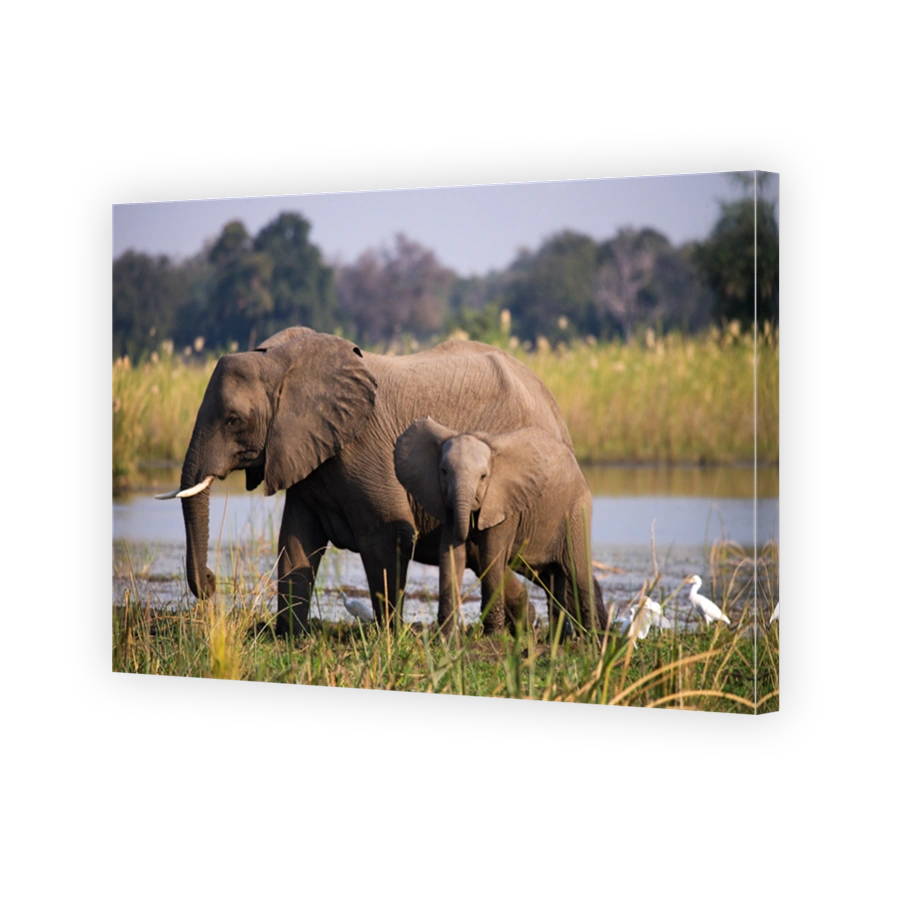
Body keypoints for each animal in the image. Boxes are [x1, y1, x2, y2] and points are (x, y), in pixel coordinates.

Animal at [156, 326, 580, 636]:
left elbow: (388, 534)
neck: (281, 360)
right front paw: (287, 636)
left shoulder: (363, 447)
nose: (211, 582)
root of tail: (555, 407)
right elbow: (295, 542)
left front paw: (389, 637)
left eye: (233, 421)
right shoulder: (308, 455)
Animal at [393, 416, 609, 638]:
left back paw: (591, 638)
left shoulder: (506, 503)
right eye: (443, 472)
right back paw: (558, 639)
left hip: (577, 511)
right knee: (554, 578)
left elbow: (491, 555)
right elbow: (451, 554)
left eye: (483, 476)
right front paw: (445, 637)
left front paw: (492, 635)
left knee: (577, 571)